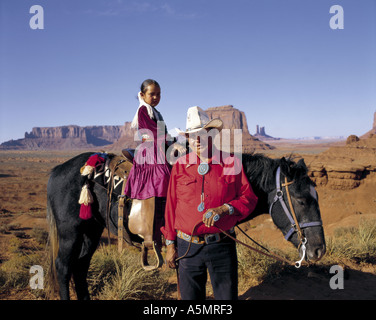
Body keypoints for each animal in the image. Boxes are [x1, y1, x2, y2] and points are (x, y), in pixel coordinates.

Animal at [46, 151, 324, 298]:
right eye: (301, 200)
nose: (318, 249)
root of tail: (58, 169)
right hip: (71, 232)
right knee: (64, 268)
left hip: (91, 230)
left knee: (80, 268)